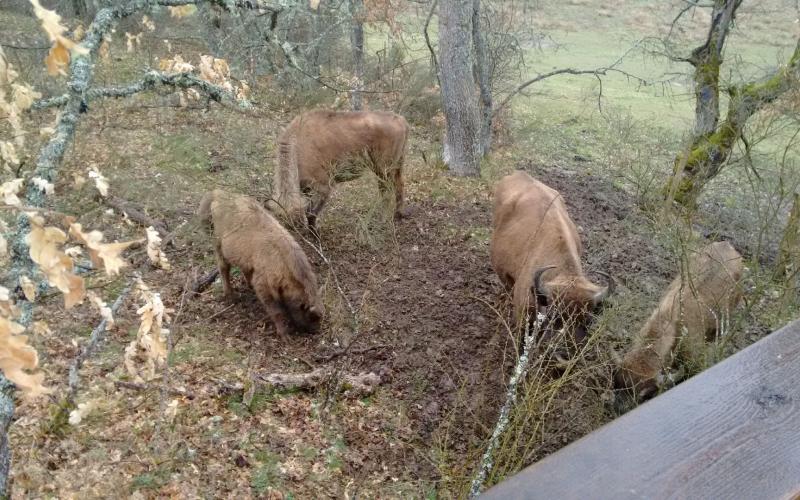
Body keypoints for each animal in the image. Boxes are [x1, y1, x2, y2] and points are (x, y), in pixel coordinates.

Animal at [198, 189, 324, 338]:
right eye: (310, 316)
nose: (316, 330)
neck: (283, 260)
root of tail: (217, 194)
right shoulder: (264, 287)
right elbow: (276, 311)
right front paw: (284, 334)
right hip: (219, 247)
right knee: (224, 269)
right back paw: (231, 296)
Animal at [270, 109, 410, 230]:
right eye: (281, 219)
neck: (296, 146)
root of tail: (401, 119)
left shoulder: (325, 186)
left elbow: (312, 213)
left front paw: (314, 233)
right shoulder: (306, 188)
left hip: (383, 169)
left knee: (386, 193)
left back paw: (382, 221)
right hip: (397, 165)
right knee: (399, 185)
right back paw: (399, 214)